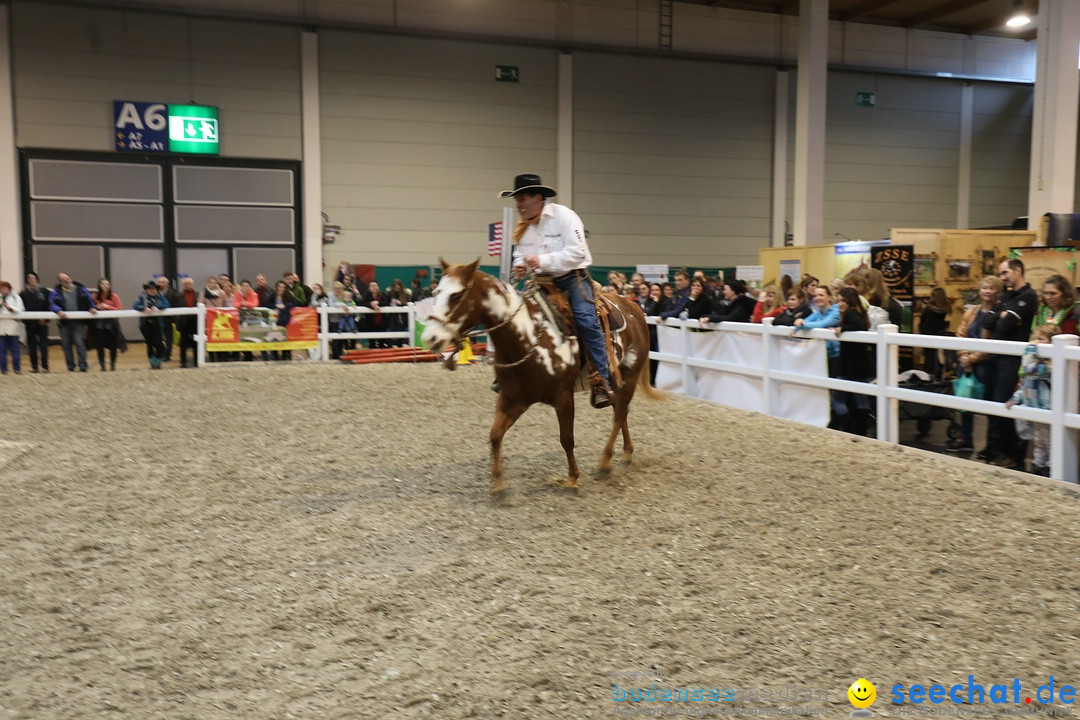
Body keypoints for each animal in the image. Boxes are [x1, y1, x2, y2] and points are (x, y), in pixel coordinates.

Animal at [419, 259, 656, 496]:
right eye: (436, 292)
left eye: (456, 295)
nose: (430, 338)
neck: (527, 336)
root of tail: (634, 308)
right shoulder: (513, 399)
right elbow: (495, 435)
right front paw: (498, 484)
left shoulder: (563, 397)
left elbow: (566, 438)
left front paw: (572, 478)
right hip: (616, 382)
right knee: (621, 411)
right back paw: (626, 453)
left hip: (630, 377)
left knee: (619, 413)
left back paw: (606, 462)